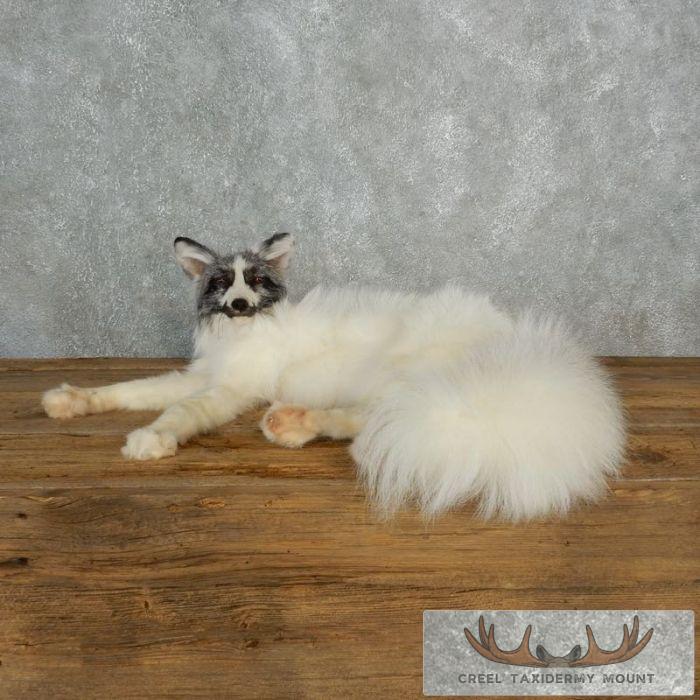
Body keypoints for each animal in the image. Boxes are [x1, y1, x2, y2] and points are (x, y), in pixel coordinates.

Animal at [42, 233, 624, 520]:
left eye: (257, 282)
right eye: (221, 283)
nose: (238, 304)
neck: (243, 335)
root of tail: (514, 346)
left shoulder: (230, 389)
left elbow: (179, 411)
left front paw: (151, 440)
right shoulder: (200, 373)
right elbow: (132, 389)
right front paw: (73, 401)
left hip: (410, 377)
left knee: (369, 423)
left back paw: (294, 426)